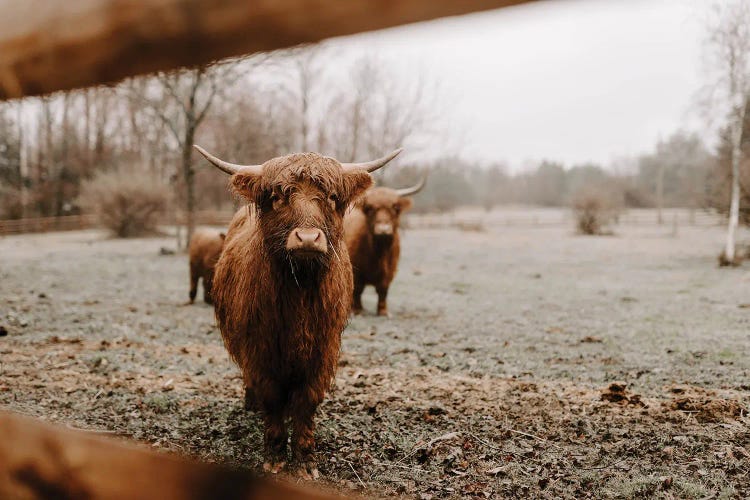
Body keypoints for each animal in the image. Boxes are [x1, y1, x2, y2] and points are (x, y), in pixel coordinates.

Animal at [197, 144, 402, 476]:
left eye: (332, 197)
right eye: (278, 197)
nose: (307, 238)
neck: (298, 297)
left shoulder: (322, 351)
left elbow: (307, 401)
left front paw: (305, 460)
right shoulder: (260, 350)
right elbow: (271, 398)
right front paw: (275, 455)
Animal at [344, 176, 426, 316]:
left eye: (395, 207)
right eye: (369, 208)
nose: (383, 229)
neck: (379, 253)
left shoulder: (390, 270)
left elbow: (383, 290)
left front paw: (383, 311)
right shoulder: (356, 271)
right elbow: (358, 290)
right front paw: (358, 310)